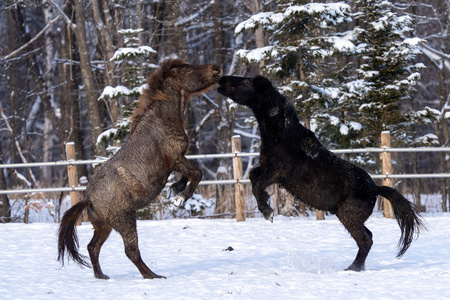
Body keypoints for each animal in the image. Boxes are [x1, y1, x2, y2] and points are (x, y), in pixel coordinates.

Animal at [57, 58, 222, 278]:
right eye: (187, 69)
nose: (217, 69)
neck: (161, 120)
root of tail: (88, 198)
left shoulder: (178, 160)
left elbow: (186, 176)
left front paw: (175, 189)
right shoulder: (175, 158)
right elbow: (197, 174)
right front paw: (179, 198)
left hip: (104, 227)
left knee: (93, 247)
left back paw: (102, 276)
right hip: (126, 221)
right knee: (130, 250)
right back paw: (153, 276)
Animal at [219, 75, 426, 272]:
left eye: (246, 81)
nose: (221, 79)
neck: (283, 137)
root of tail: (375, 188)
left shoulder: (278, 172)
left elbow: (257, 184)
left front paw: (268, 212)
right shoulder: (265, 168)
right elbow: (253, 178)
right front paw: (266, 205)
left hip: (348, 217)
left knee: (366, 240)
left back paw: (353, 268)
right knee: (367, 238)